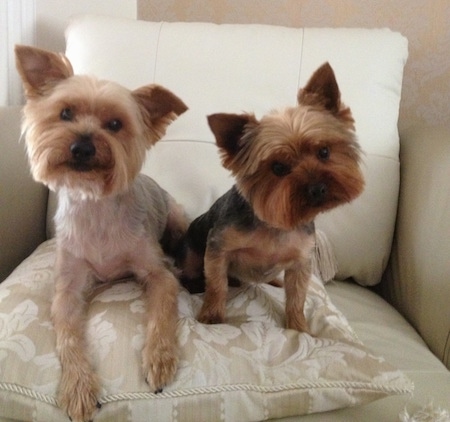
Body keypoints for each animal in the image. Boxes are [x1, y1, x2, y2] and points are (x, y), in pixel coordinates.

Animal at [15, 44, 188, 420]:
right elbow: (68, 335)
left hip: (177, 217)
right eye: (65, 113)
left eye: (115, 124)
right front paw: (79, 387)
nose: (82, 147)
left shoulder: (157, 272)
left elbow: (162, 312)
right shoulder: (68, 287)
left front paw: (159, 358)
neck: (95, 204)